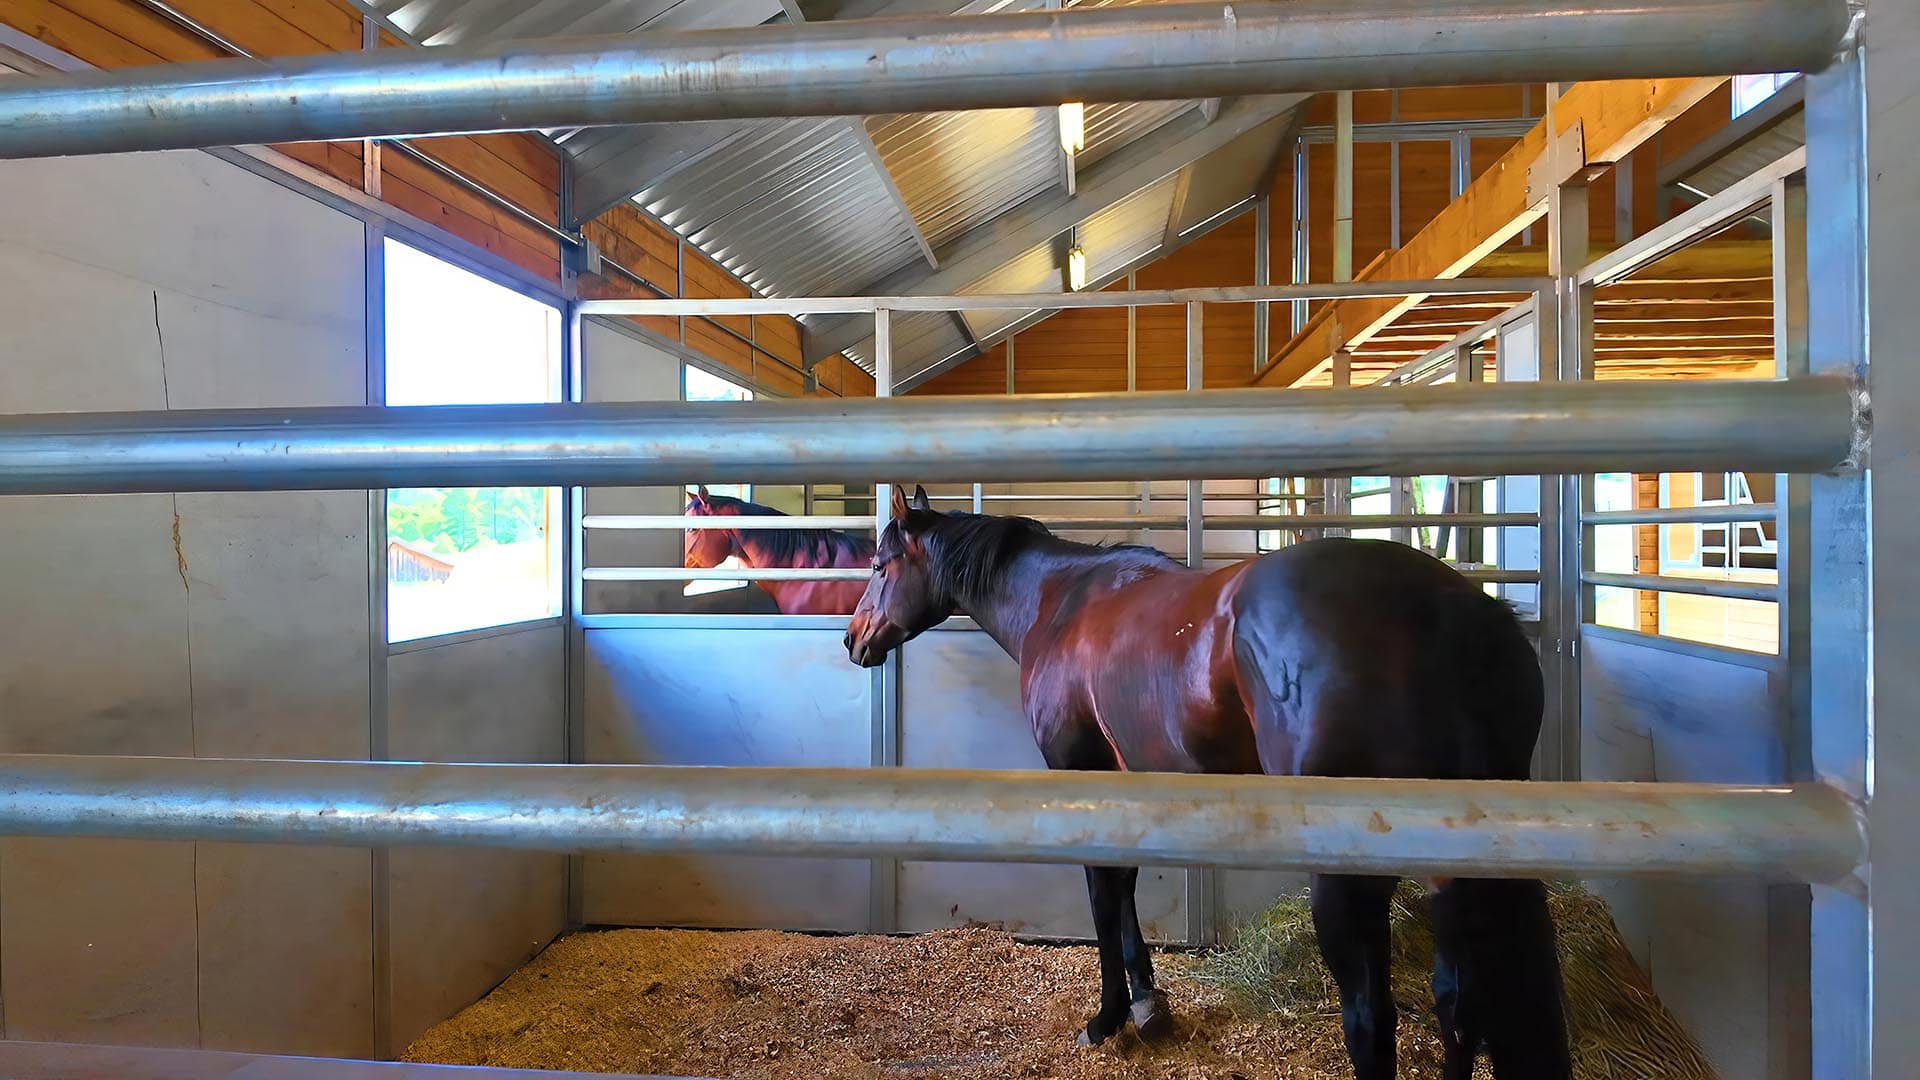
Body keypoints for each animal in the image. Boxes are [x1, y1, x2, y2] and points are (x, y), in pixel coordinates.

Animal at [844, 486, 1571, 1080]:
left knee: (1373, 1020)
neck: (1062, 604)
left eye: (880, 566)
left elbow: (1103, 893)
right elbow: (1127, 886)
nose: (854, 639)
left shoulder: (1083, 774)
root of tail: (1449, 609)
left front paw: (1107, 1019)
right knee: (1461, 1004)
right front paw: (1147, 1003)